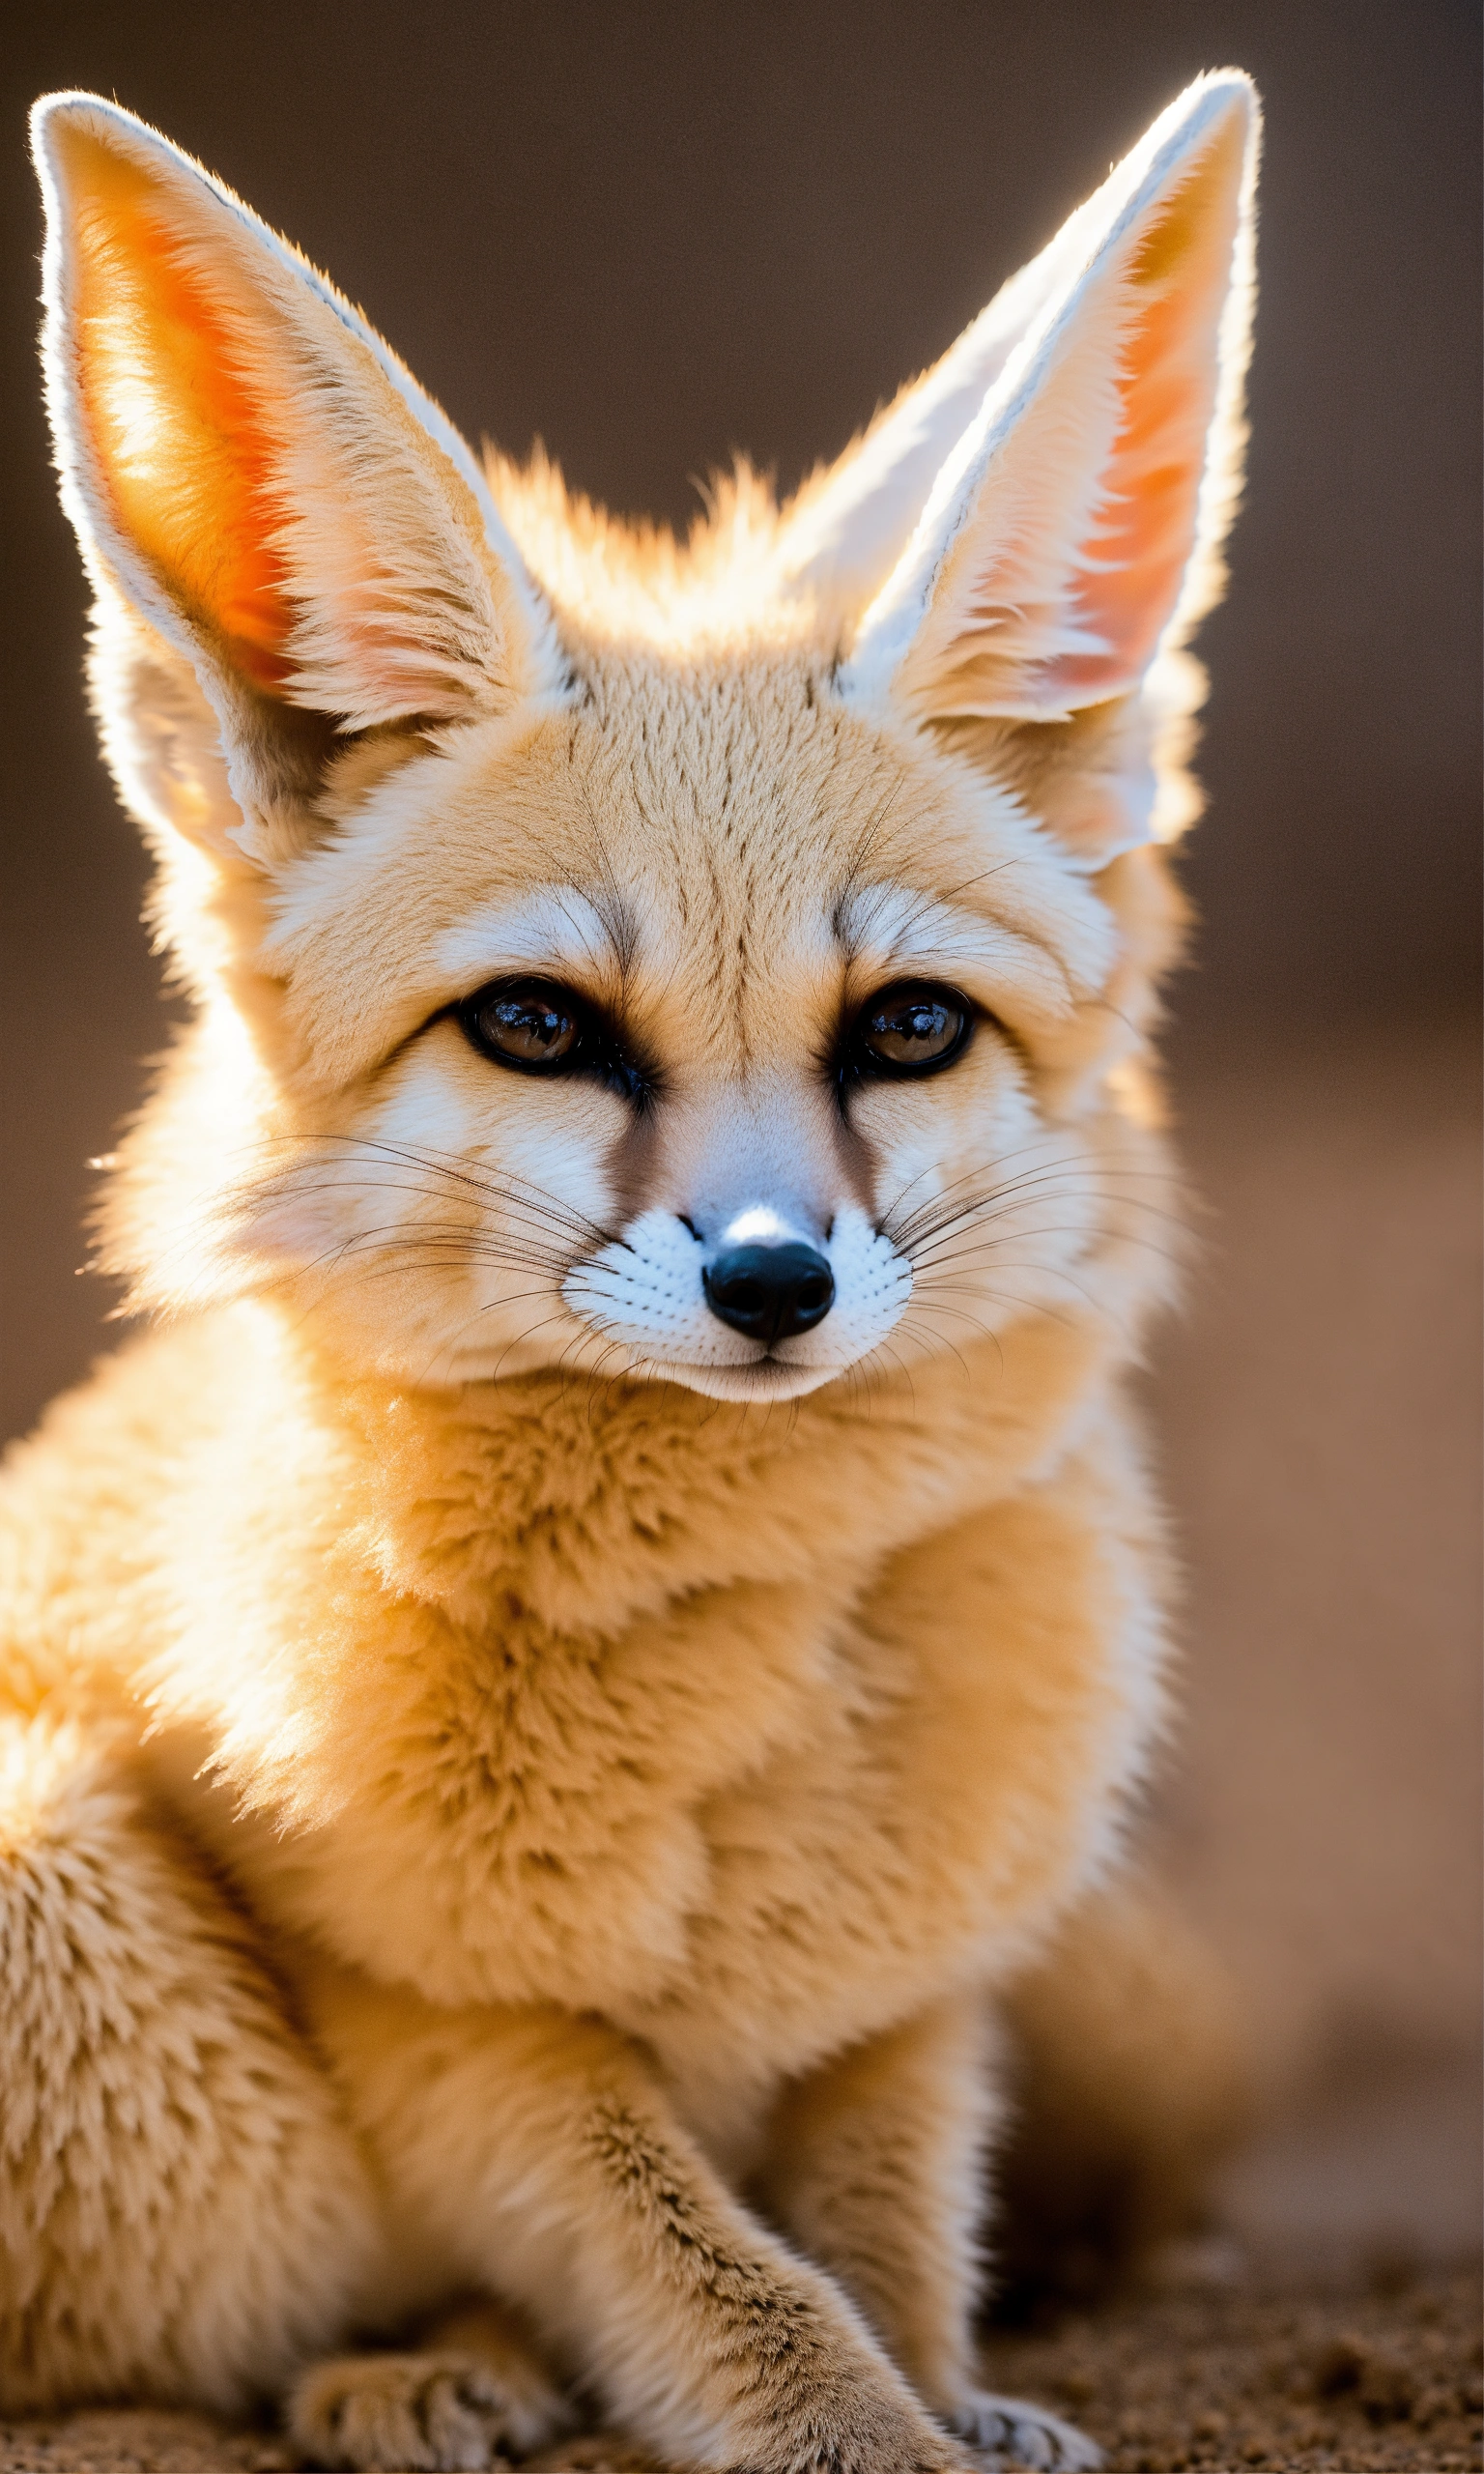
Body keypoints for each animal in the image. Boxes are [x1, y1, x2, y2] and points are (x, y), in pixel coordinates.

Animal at [1, 69, 1259, 2474]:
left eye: (910, 1028)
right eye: (539, 1025)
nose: (775, 1283)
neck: (752, 1673)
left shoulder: (914, 1991)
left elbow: (884, 2231)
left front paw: (960, 2399)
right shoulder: (438, 2018)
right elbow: (730, 2297)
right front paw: (877, 2433)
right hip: (74, 1900)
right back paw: (405, 2365)